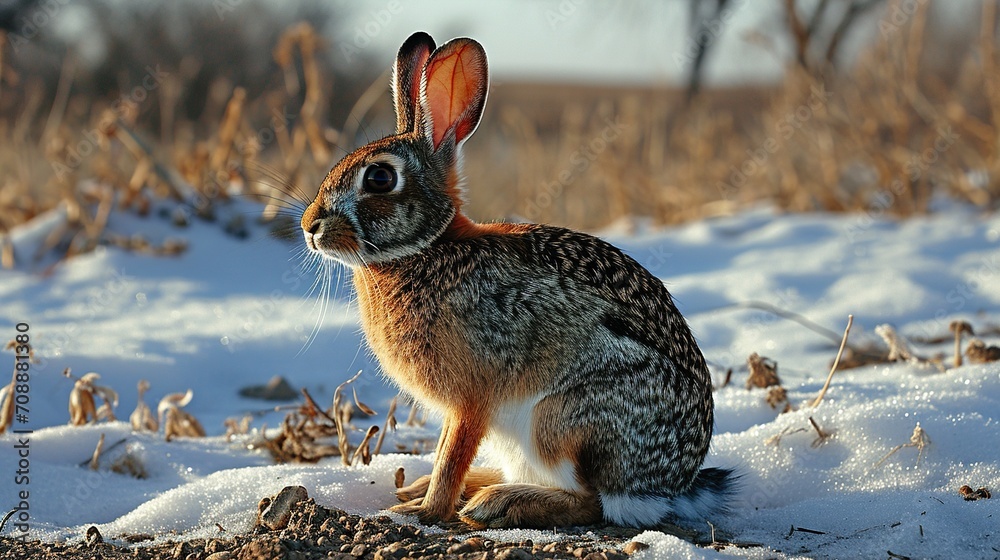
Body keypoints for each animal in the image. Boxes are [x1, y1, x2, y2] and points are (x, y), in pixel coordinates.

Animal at [300, 31, 733, 529]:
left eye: (379, 177)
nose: (310, 227)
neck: (426, 248)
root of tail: (669, 486)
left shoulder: (471, 401)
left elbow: (452, 454)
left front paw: (425, 511)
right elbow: (446, 453)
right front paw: (423, 496)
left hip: (557, 421)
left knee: (590, 500)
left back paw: (496, 502)